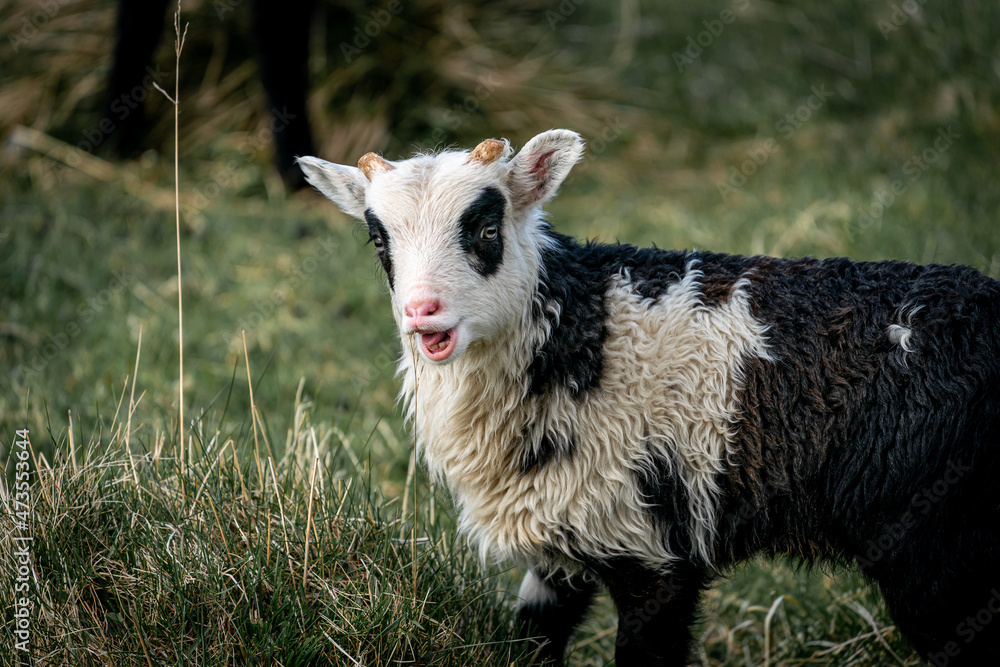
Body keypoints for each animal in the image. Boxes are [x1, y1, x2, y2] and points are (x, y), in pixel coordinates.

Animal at [298, 130, 1000, 666]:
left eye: (487, 227)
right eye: (379, 240)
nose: (422, 314)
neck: (587, 333)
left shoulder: (653, 544)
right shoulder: (562, 533)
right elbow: (532, 639)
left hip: (932, 541)